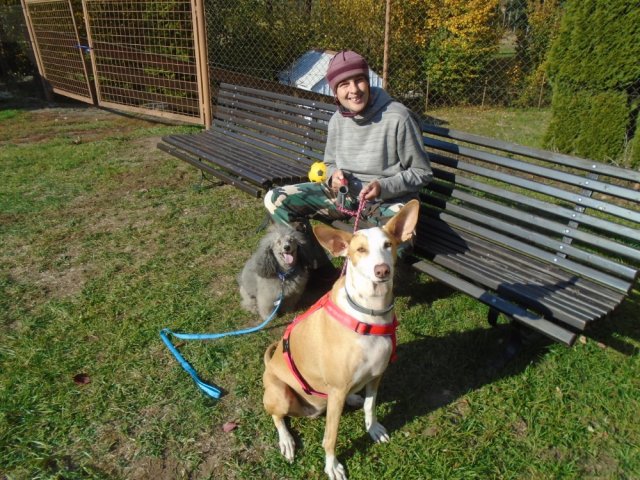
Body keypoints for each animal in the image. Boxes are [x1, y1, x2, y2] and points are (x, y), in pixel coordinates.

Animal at [262, 200, 419, 480]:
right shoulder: (336, 391)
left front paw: (373, 428)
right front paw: (331, 466)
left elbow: (370, 406)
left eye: (388, 245)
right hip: (281, 394)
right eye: (360, 250)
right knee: (277, 418)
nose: (382, 270)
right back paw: (286, 441)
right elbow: (330, 437)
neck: (370, 313)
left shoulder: (377, 375)